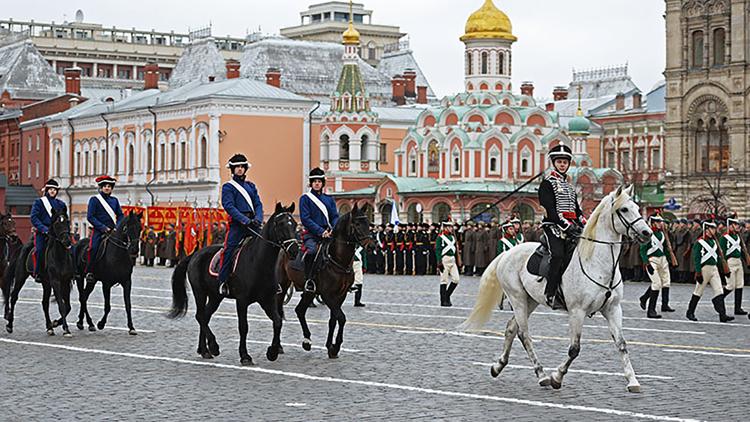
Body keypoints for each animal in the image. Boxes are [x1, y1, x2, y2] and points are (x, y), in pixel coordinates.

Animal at [3, 208, 74, 336]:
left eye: (67, 221)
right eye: (57, 223)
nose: (67, 241)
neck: (60, 256)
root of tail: (22, 248)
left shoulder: (65, 282)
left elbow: (68, 307)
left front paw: (55, 323)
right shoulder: (56, 281)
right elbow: (61, 306)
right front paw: (66, 329)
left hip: (46, 283)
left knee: (44, 303)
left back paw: (49, 327)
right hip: (21, 277)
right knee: (13, 297)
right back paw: (10, 325)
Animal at [169, 203, 298, 364]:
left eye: (295, 224)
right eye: (280, 224)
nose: (294, 250)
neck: (259, 262)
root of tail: (195, 254)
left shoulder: (267, 300)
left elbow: (278, 321)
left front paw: (272, 352)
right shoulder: (242, 301)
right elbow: (243, 327)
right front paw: (245, 356)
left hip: (215, 296)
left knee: (205, 316)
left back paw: (204, 350)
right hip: (200, 292)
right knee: (200, 316)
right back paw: (213, 346)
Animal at [276, 206, 370, 358]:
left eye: (368, 222)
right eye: (356, 223)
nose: (369, 242)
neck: (337, 260)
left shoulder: (340, 295)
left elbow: (333, 320)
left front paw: (330, 347)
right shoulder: (327, 295)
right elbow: (341, 318)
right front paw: (335, 347)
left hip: (309, 291)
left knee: (300, 310)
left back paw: (307, 341)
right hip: (282, 287)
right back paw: (279, 346)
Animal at [462, 185, 656, 392]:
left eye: (637, 207)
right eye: (624, 209)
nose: (647, 233)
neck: (597, 262)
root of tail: (508, 253)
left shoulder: (613, 309)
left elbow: (621, 344)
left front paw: (632, 380)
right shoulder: (577, 311)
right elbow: (574, 349)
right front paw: (557, 376)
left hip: (531, 300)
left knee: (511, 328)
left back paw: (498, 366)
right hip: (518, 299)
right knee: (524, 334)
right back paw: (541, 375)